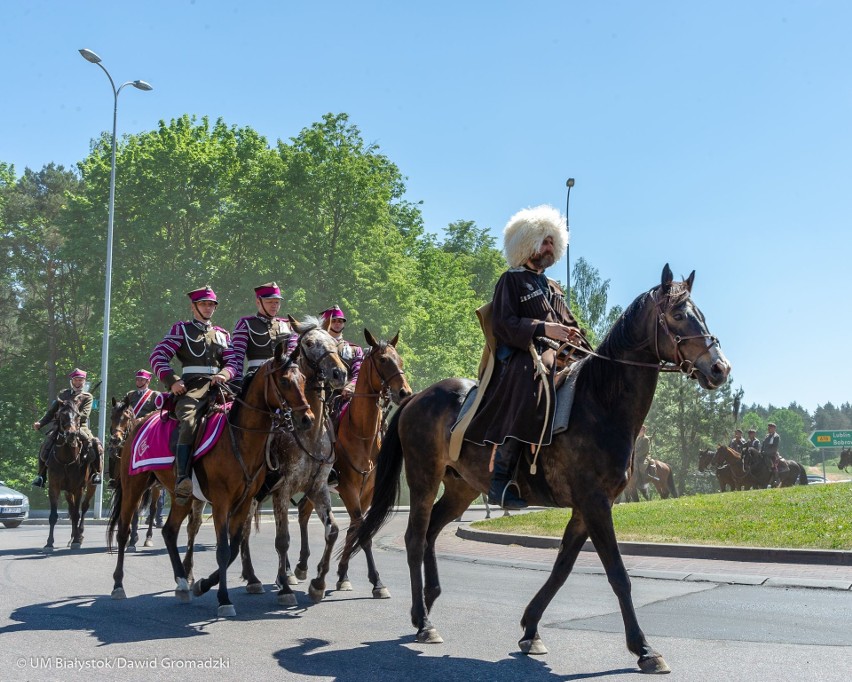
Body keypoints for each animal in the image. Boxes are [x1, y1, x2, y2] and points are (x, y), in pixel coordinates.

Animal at [42, 398, 98, 552]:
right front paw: (49, 543)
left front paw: (77, 541)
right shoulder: (54, 487)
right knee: (72, 510)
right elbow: (53, 516)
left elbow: (77, 514)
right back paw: (73, 536)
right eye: (61, 415)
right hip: (68, 491)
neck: (67, 458)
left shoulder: (79, 488)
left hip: (91, 486)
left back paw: (79, 535)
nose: (72, 434)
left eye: (78, 415)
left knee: (83, 508)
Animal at [108, 342, 314, 612]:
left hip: (180, 495)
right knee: (122, 530)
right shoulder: (221, 502)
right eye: (284, 380)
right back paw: (118, 585)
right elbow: (224, 550)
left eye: (303, 379)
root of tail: (139, 423)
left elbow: (234, 547)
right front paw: (224, 599)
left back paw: (182, 583)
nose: (307, 419)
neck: (239, 438)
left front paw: (203, 585)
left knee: (170, 531)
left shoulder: (244, 501)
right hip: (134, 486)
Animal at [196, 318, 346, 604]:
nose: (339, 374)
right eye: (310, 343)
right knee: (242, 533)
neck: (309, 433)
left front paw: (317, 583)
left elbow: (332, 530)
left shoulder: (317, 487)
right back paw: (252, 578)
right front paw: (286, 588)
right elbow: (282, 540)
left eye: (335, 342)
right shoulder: (282, 490)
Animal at [292, 330, 412, 596]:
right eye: (383, 360)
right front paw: (376, 582)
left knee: (304, 511)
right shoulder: (347, 489)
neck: (362, 435)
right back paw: (294, 570)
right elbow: (361, 531)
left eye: (399, 359)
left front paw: (343, 575)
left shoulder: (366, 492)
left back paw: (304, 566)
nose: (405, 393)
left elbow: (356, 529)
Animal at [342, 264, 728, 668]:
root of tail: (416, 398)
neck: (601, 401)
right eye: (679, 315)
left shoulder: (586, 508)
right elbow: (618, 574)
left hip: (461, 488)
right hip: (423, 478)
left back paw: (429, 602)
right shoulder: (595, 503)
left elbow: (562, 568)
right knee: (415, 538)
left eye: (700, 313)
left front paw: (531, 628)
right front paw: (644, 648)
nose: (720, 368)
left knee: (431, 531)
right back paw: (423, 621)